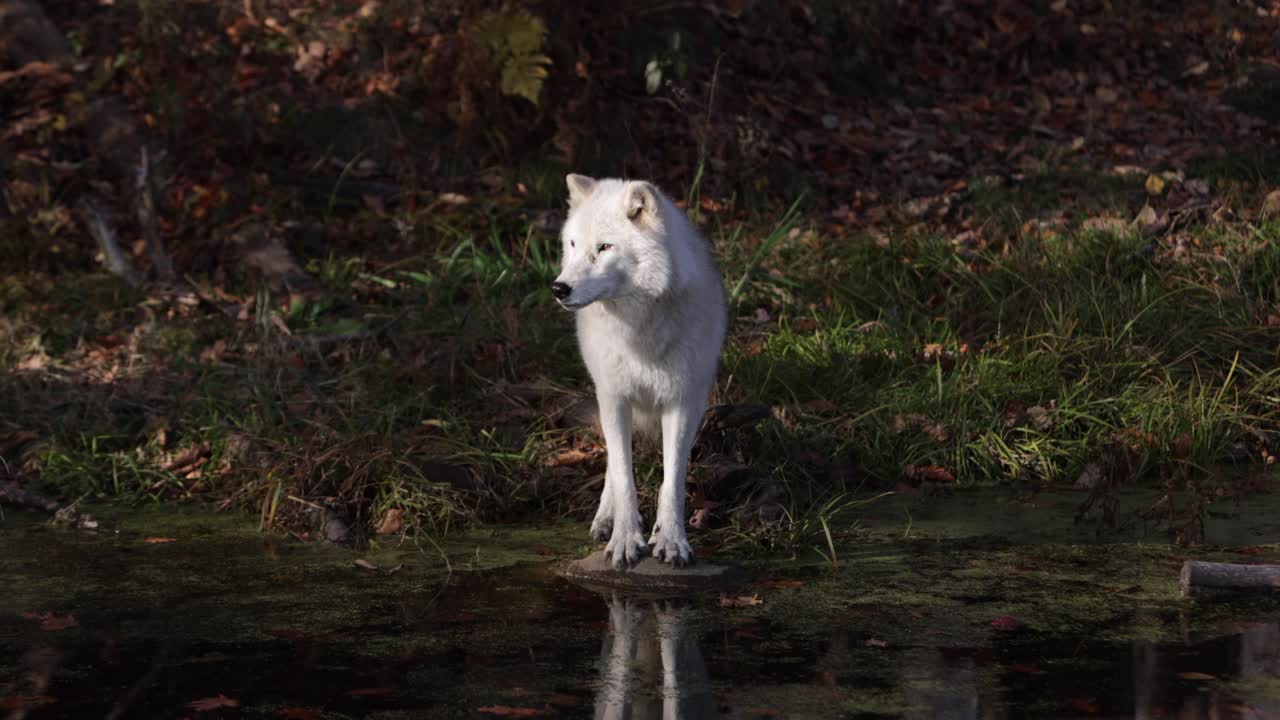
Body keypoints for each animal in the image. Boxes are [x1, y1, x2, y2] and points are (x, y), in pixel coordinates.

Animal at [552, 175, 727, 569]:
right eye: (573, 244)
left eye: (604, 247)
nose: (558, 288)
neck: (639, 329)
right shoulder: (615, 398)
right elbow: (623, 477)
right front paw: (625, 540)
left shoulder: (682, 402)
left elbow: (672, 481)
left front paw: (671, 541)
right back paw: (605, 517)